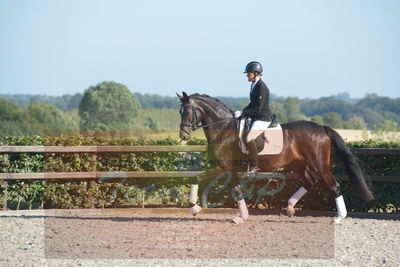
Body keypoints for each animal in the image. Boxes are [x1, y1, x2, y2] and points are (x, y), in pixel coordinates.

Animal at [177, 92, 374, 224]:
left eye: (187, 111)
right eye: (180, 112)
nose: (184, 135)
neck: (224, 129)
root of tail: (322, 128)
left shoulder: (224, 167)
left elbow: (199, 178)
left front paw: (194, 206)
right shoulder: (230, 170)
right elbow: (232, 189)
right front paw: (241, 216)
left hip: (319, 164)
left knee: (334, 185)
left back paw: (339, 218)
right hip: (299, 164)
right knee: (310, 181)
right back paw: (290, 208)